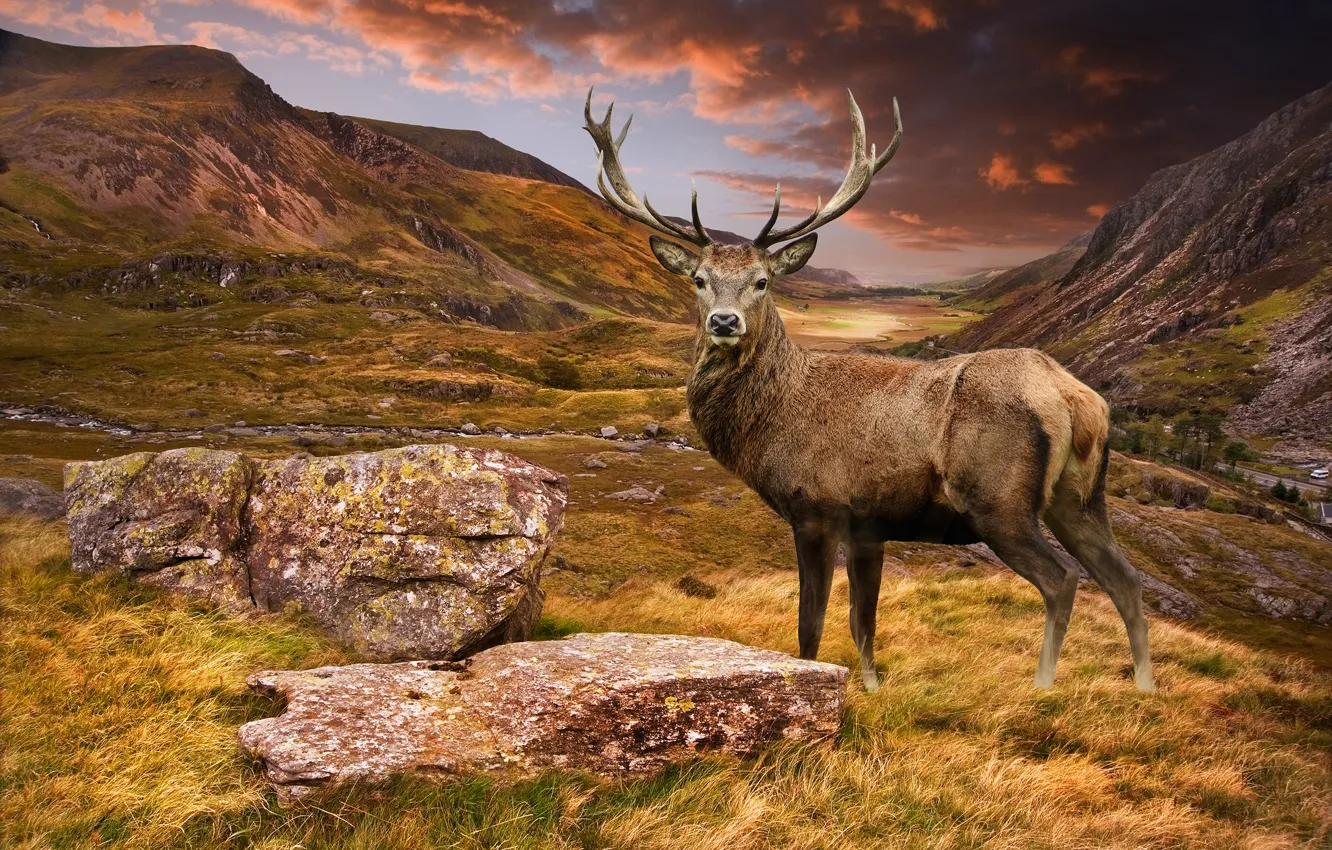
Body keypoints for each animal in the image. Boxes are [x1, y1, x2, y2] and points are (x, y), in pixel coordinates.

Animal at [583, 88, 1155, 693]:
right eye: (698, 280)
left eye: (763, 281)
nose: (723, 321)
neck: (773, 422)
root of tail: (1076, 399)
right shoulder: (869, 526)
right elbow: (864, 622)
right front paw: (872, 688)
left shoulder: (818, 507)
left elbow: (810, 625)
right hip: (1080, 498)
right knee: (1126, 578)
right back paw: (1145, 688)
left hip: (1000, 500)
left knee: (1062, 580)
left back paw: (1044, 685)